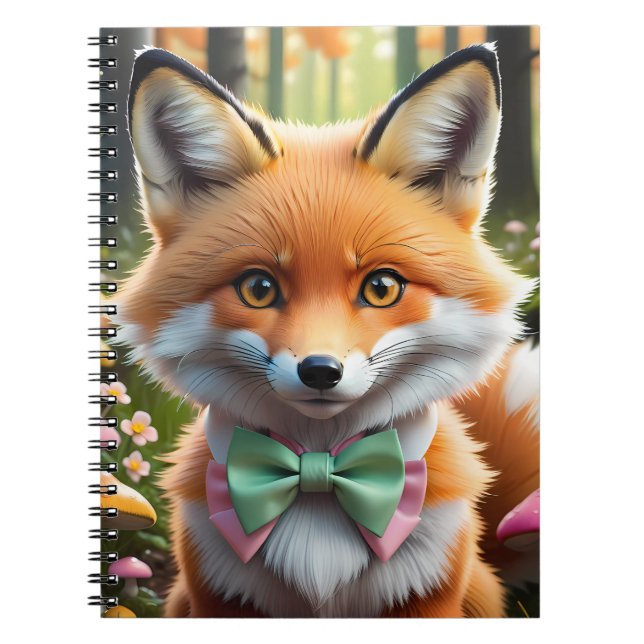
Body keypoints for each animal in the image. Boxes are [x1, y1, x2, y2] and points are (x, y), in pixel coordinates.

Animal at [117, 43, 539, 617]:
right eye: (259, 288)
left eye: (381, 287)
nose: (320, 371)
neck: (318, 471)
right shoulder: (216, 595)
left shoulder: (427, 598)